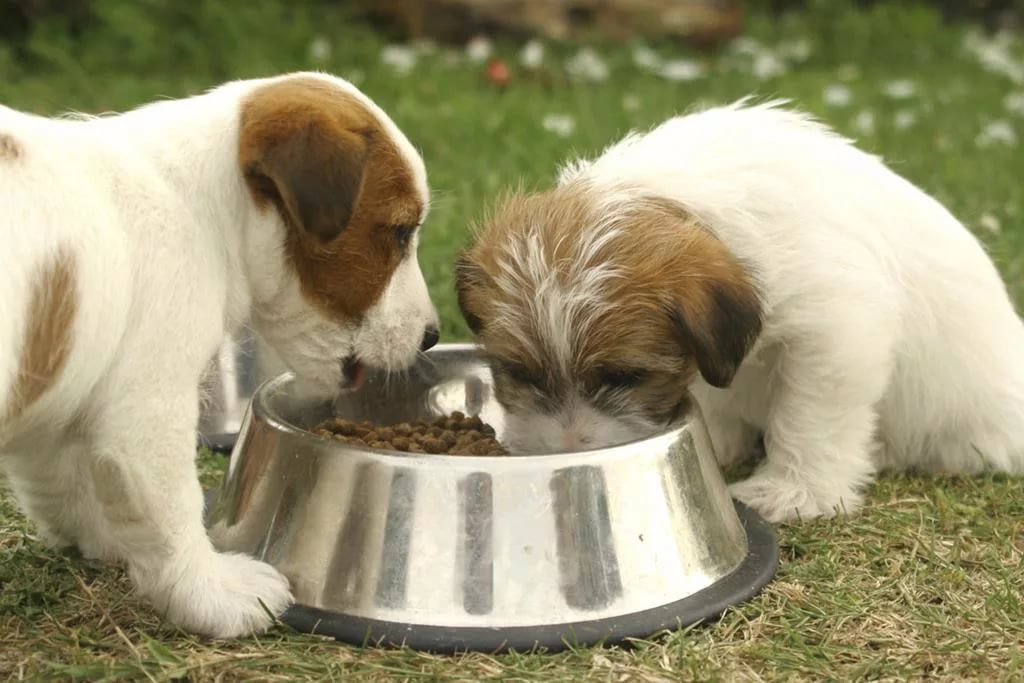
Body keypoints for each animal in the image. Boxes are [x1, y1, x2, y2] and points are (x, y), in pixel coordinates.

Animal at [0, 74, 436, 643]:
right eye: (401, 233)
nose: (433, 335)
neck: (208, 207)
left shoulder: (62, 389)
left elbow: (65, 481)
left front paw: (108, 541)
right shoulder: (149, 410)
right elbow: (172, 510)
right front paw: (211, 591)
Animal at [458, 97, 1024, 524]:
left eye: (626, 377)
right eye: (517, 373)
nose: (568, 447)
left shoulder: (835, 333)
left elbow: (810, 418)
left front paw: (793, 492)